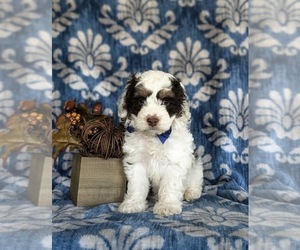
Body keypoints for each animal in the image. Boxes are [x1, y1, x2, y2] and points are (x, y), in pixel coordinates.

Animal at [118, 70, 203, 215]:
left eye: (166, 101)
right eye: (141, 100)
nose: (152, 119)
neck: (155, 137)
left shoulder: (174, 161)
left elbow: (170, 184)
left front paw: (167, 205)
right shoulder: (137, 160)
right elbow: (137, 183)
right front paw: (133, 204)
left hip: (196, 166)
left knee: (195, 179)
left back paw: (191, 192)